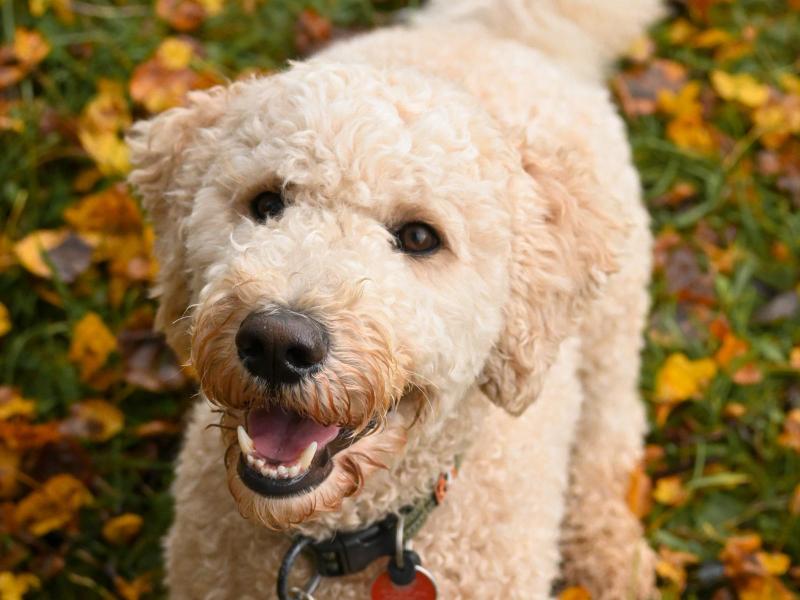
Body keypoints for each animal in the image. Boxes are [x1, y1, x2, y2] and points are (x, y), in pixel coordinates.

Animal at [127, 1, 663, 598]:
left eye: (420, 237)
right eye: (266, 204)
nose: (276, 343)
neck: (330, 545)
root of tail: (494, 32)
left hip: (612, 332)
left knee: (609, 440)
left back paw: (612, 556)